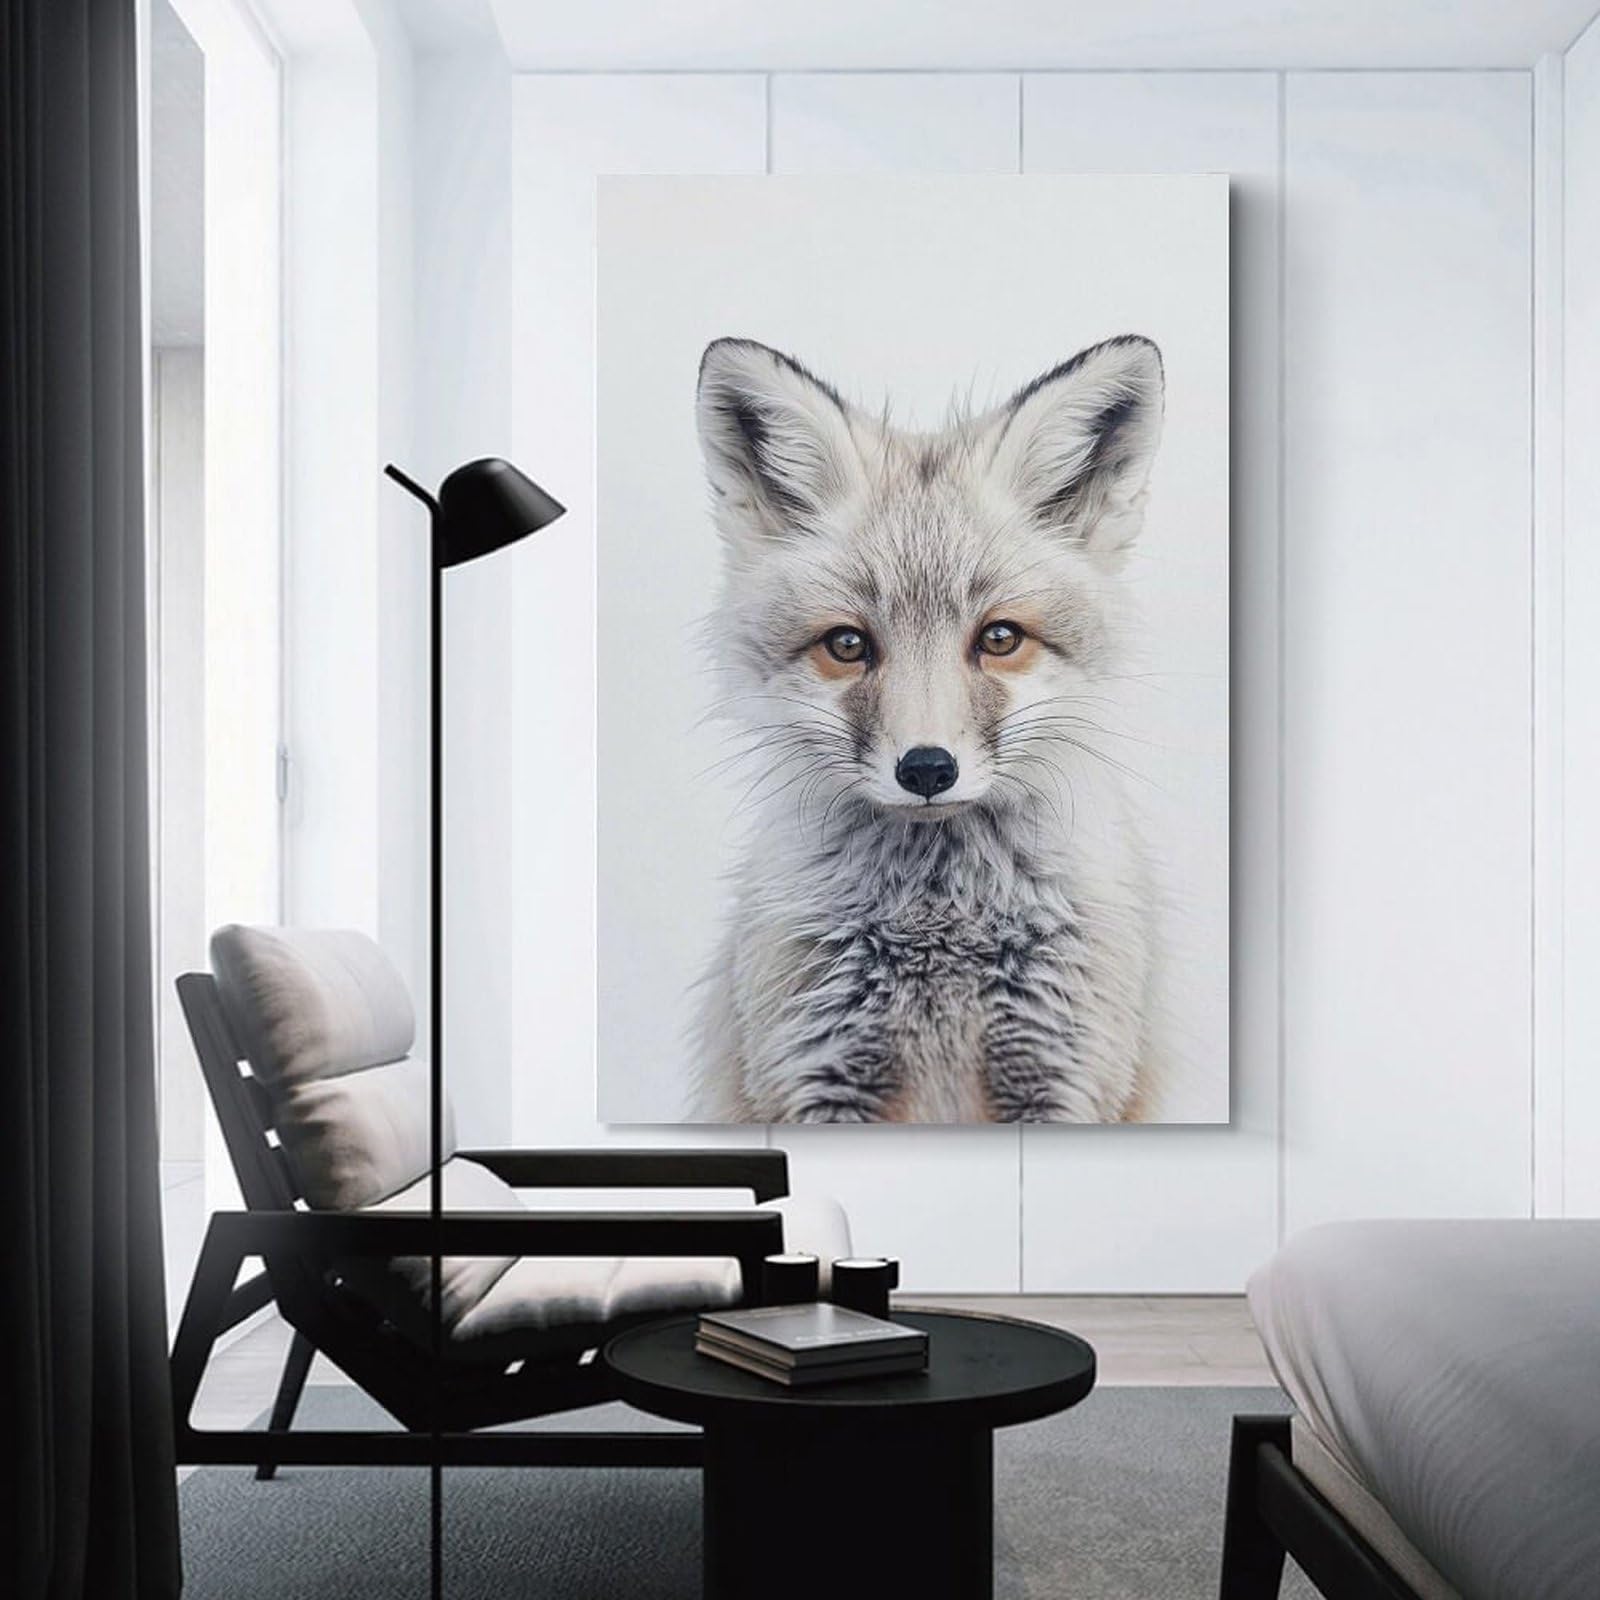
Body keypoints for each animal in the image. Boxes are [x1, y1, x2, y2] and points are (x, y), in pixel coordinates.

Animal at [688, 334, 1164, 1124]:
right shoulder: (817, 1070)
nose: (927, 770)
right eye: (847, 644)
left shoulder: (1064, 1071)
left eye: (1000, 638)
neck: (938, 919)